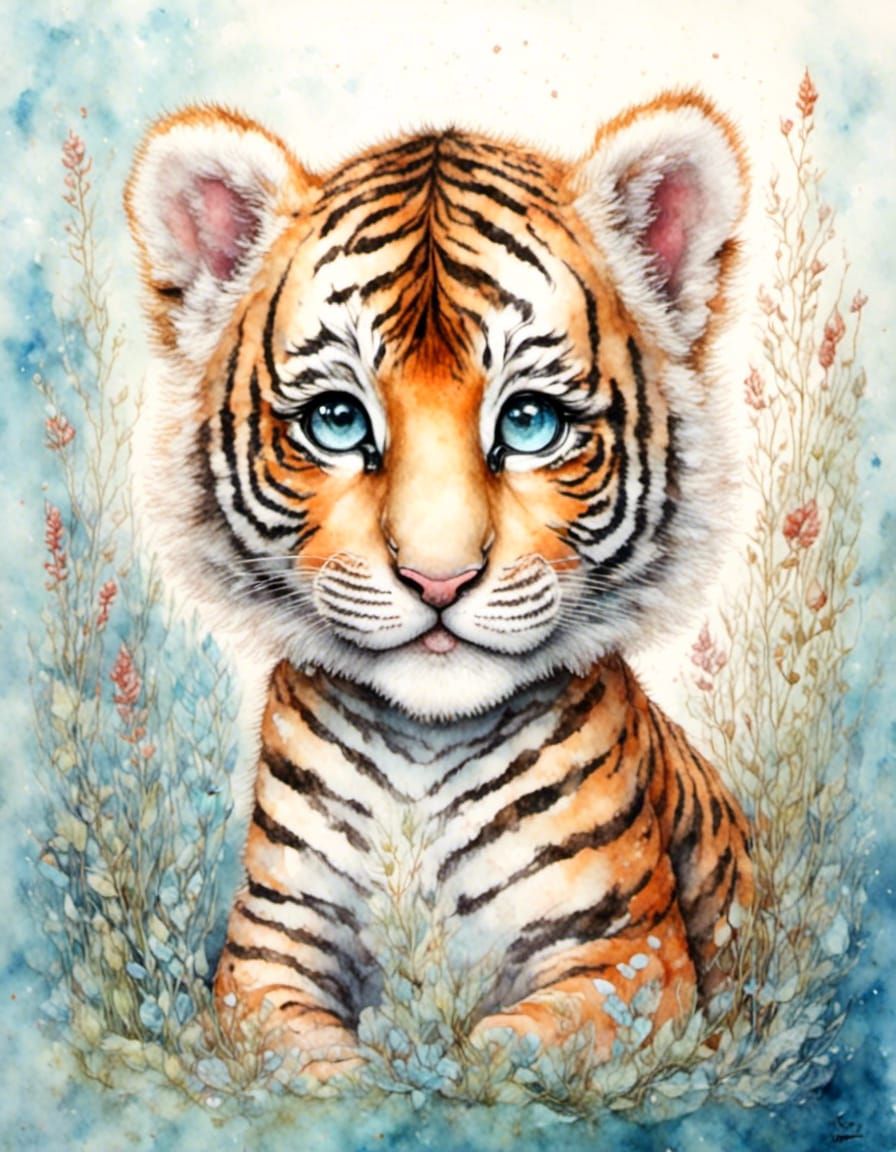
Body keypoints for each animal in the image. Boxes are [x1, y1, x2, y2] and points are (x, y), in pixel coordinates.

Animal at [125, 91, 753, 1078]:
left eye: (528, 422)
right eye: (337, 420)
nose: (438, 578)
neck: (421, 749)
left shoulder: (628, 957)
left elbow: (503, 1052)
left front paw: (436, 1073)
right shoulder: (267, 950)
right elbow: (306, 1066)